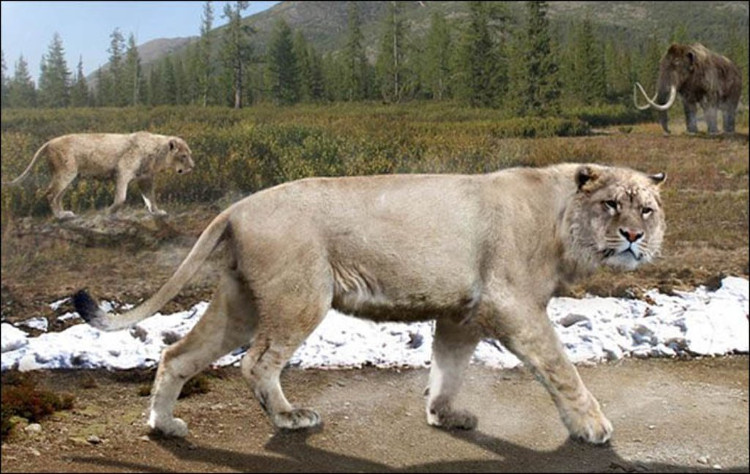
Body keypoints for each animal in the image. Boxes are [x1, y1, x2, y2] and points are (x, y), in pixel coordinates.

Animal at [2, 132, 194, 219]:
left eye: (189, 154)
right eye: (184, 156)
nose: (193, 167)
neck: (157, 153)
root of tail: (49, 142)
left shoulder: (145, 178)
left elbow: (150, 197)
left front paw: (157, 212)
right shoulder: (122, 172)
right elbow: (121, 198)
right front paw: (108, 212)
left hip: (68, 176)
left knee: (57, 196)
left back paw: (65, 213)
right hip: (66, 173)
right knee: (50, 194)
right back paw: (60, 216)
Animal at [74, 163, 666, 444]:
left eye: (648, 208)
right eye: (612, 204)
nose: (635, 236)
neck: (561, 220)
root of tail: (237, 207)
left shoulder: (463, 311)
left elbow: (449, 366)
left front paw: (444, 414)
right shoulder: (511, 304)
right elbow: (562, 369)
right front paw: (592, 427)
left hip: (240, 304)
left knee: (177, 355)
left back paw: (164, 426)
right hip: (300, 296)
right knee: (257, 363)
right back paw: (290, 418)